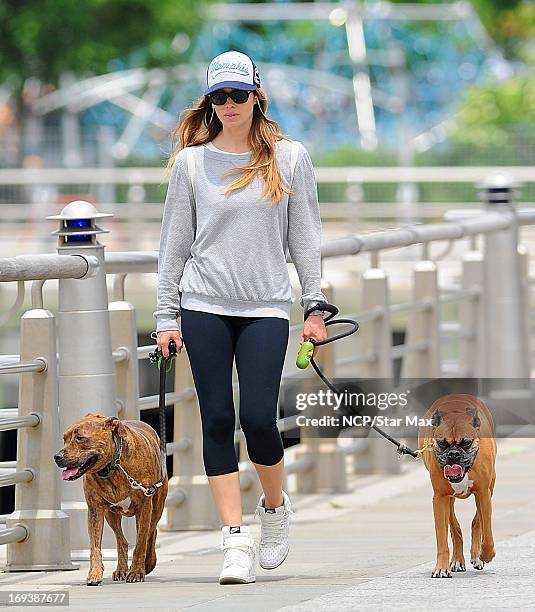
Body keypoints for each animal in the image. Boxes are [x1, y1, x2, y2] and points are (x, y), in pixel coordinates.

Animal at [54, 414, 168, 584]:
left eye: (80, 438)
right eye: (64, 439)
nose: (57, 457)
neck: (114, 467)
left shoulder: (144, 506)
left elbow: (141, 542)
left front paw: (136, 571)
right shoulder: (95, 510)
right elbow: (95, 546)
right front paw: (94, 573)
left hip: (156, 507)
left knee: (150, 532)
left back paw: (148, 562)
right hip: (111, 514)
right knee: (122, 540)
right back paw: (121, 569)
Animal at [418, 394, 498, 576]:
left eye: (466, 443)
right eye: (442, 443)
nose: (453, 454)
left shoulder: (484, 494)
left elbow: (487, 532)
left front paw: (486, 554)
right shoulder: (440, 499)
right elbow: (442, 538)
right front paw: (441, 567)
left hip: (488, 489)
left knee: (477, 522)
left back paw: (477, 555)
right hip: (448, 500)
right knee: (455, 528)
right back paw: (457, 560)